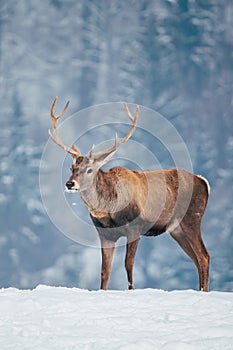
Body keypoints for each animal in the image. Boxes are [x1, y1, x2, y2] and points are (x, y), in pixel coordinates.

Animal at [48, 97, 210, 292]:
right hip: (176, 229)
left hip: (192, 218)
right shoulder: (104, 234)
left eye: (89, 169)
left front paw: (131, 290)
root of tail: (203, 181)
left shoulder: (135, 227)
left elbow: (128, 264)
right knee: (196, 258)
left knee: (204, 256)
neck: (109, 209)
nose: (70, 184)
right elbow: (105, 270)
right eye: (72, 168)